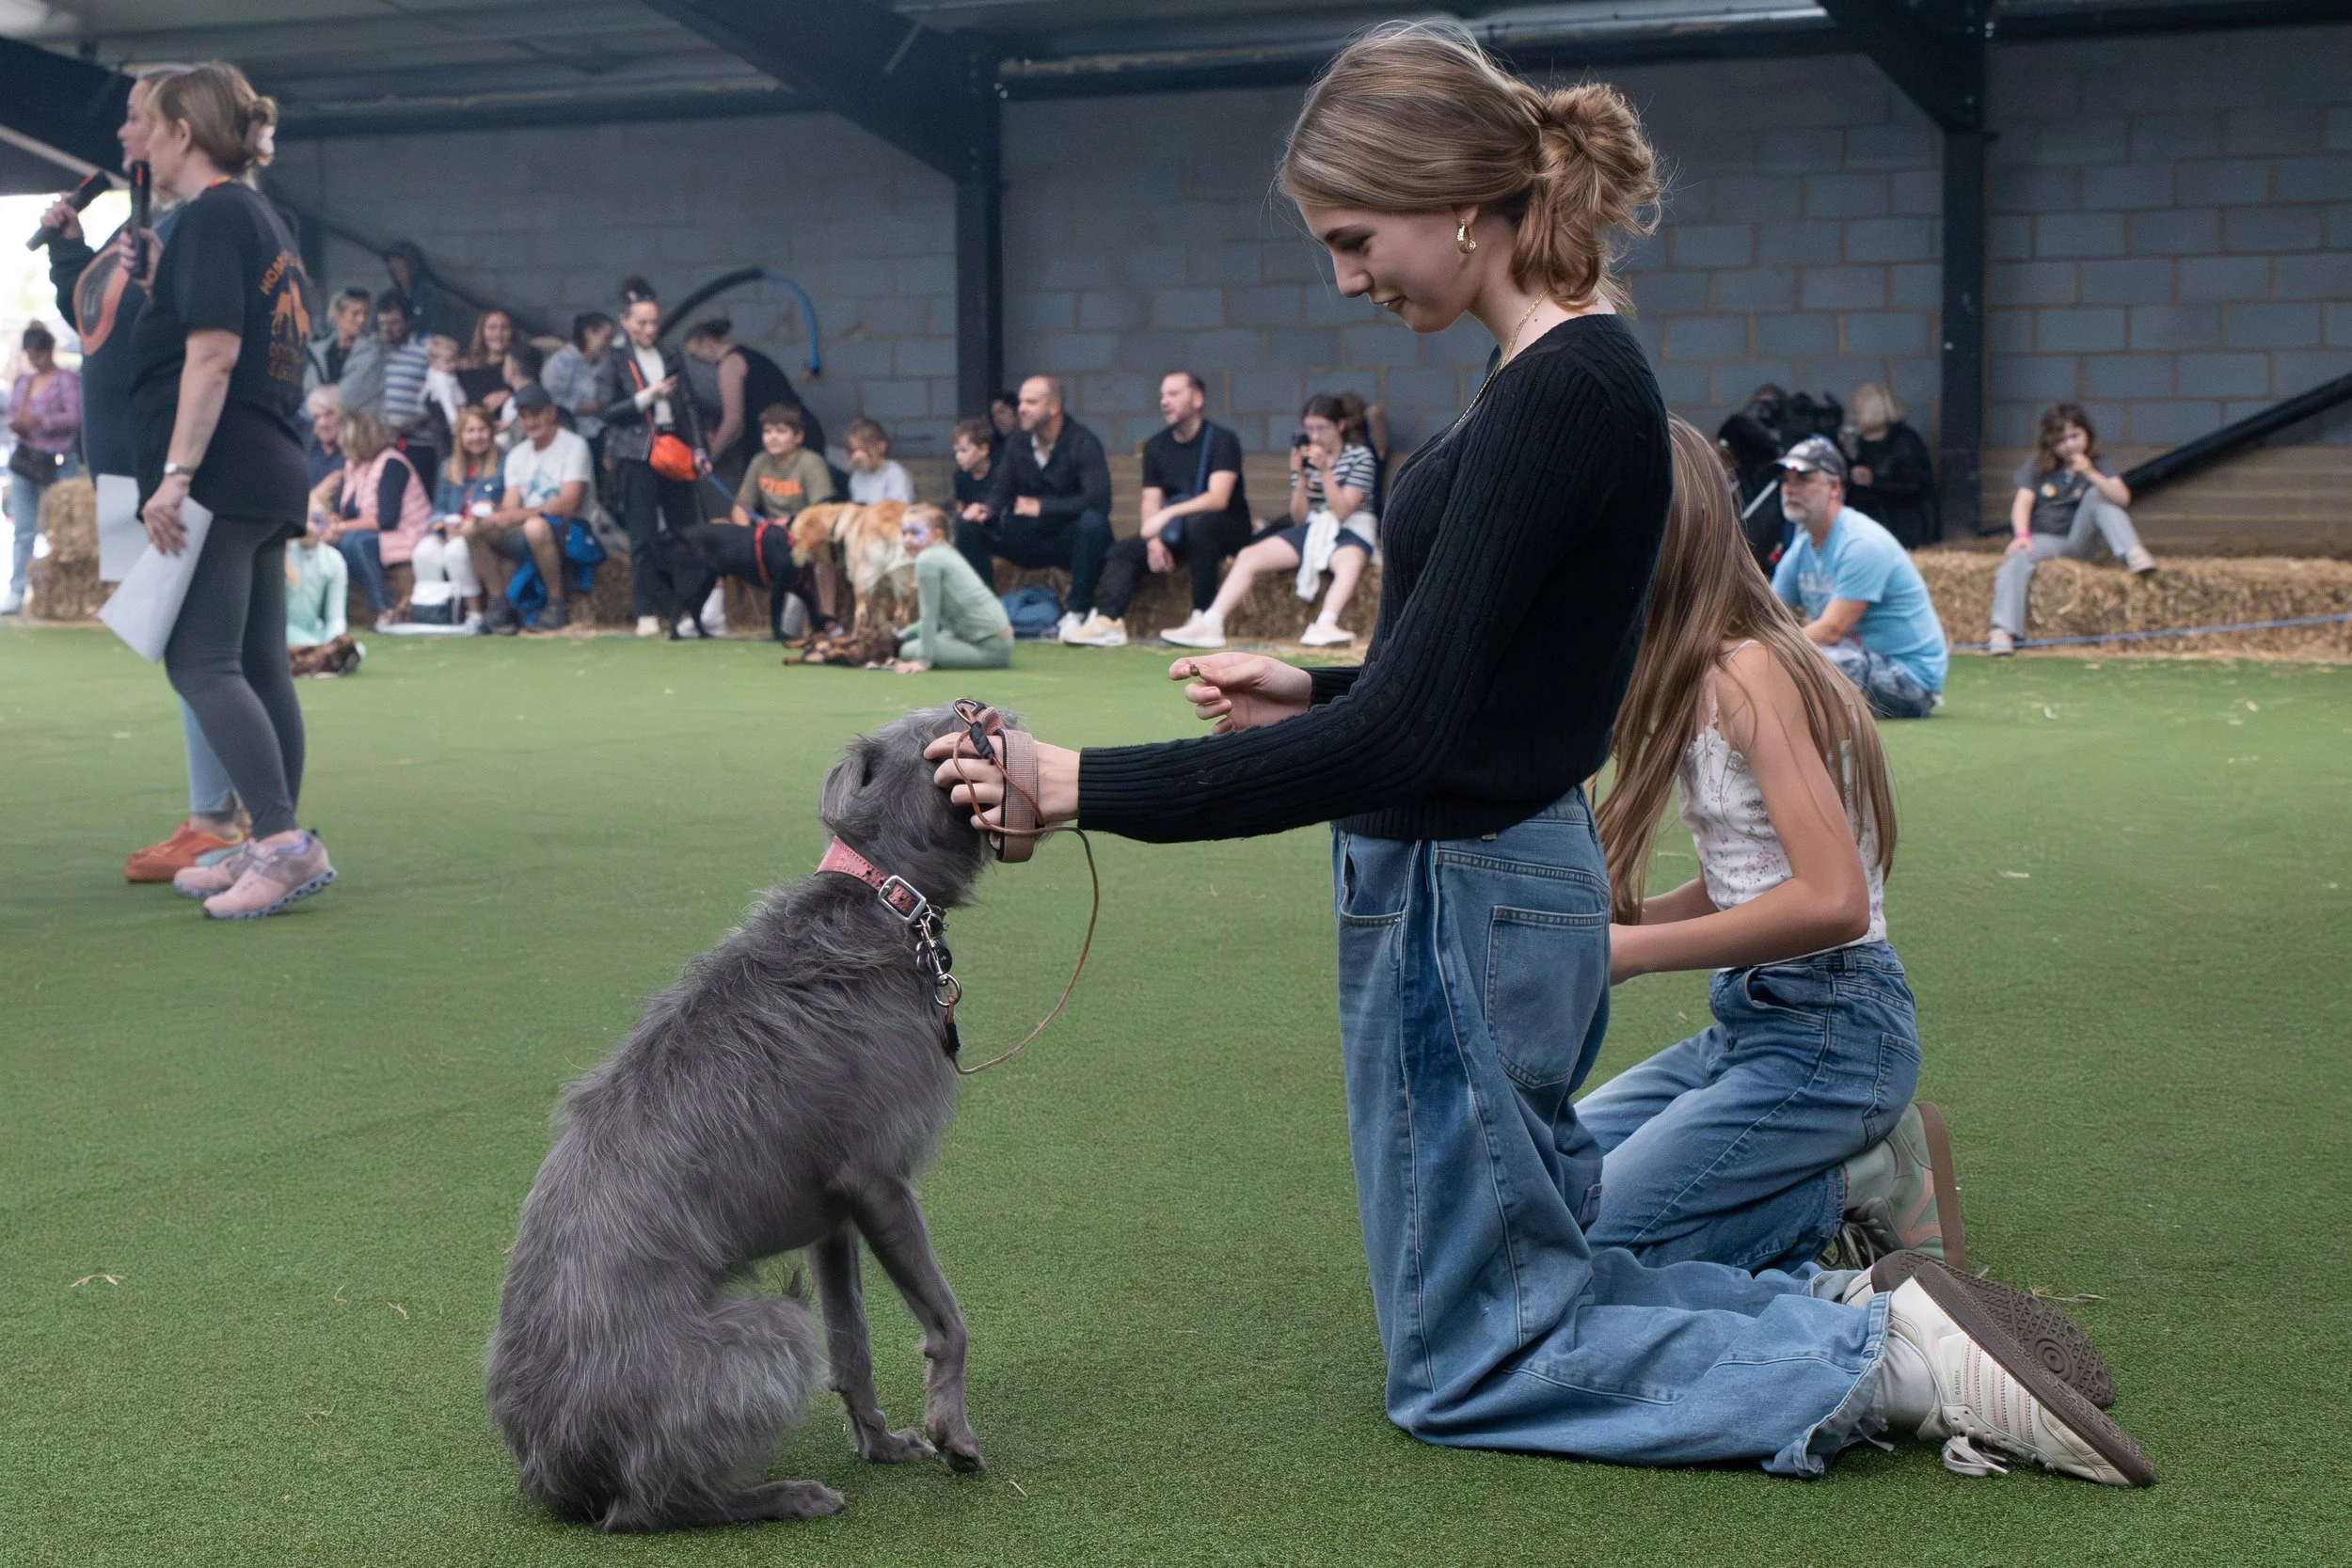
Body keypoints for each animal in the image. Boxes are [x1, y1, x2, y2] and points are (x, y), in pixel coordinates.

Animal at [486, 703, 1002, 1531]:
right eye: (939, 735)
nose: (984, 707)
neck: (881, 895)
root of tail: (551, 1466)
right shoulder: (882, 1182)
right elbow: (948, 1323)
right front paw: (952, 1430)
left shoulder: (836, 1215)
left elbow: (852, 1343)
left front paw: (881, 1441)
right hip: (761, 1330)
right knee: (650, 1505)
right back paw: (782, 1494)